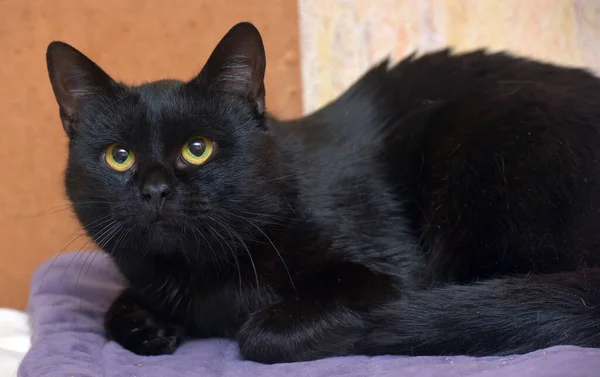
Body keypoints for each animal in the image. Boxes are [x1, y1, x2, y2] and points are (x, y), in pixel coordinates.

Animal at [44, 22, 600, 362]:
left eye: (198, 149)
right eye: (119, 156)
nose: (155, 189)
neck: (200, 276)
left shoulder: (393, 272)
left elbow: (262, 333)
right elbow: (113, 309)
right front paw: (147, 327)